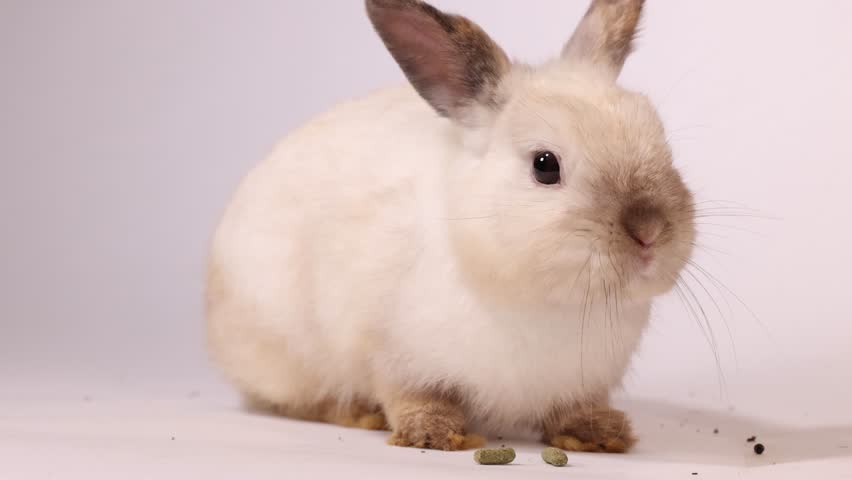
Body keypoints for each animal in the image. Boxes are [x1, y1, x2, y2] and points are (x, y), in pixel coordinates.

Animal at [206, 0, 696, 453]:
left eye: (662, 144)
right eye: (545, 165)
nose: (650, 231)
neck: (547, 300)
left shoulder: (582, 380)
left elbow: (575, 408)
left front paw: (600, 434)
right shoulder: (390, 352)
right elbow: (410, 395)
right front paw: (434, 433)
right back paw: (358, 414)